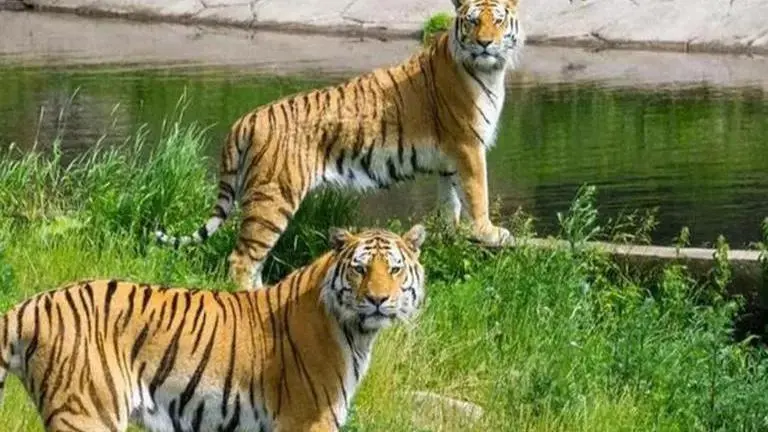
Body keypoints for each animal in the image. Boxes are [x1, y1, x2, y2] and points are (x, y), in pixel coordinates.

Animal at [0, 224, 427, 432]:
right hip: (87, 413)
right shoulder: (308, 420)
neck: (357, 333)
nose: (378, 300)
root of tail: (29, 305)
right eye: (360, 269)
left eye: (394, 269)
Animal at [154, 0, 525, 291]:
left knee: (252, 259)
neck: (489, 71)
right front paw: (490, 232)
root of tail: (247, 119)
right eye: (473, 20)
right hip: (273, 197)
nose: (485, 44)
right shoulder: (468, 145)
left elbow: (451, 201)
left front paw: (452, 234)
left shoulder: (450, 159)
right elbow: (477, 192)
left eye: (498, 20)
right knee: (242, 258)